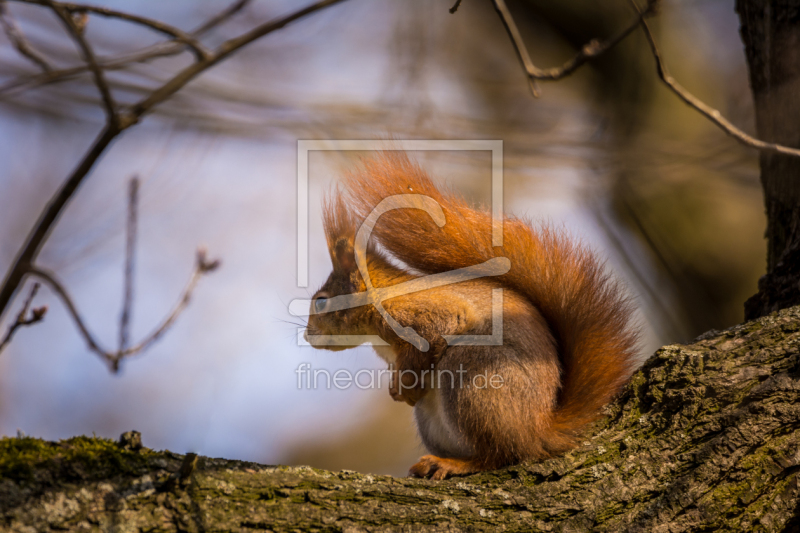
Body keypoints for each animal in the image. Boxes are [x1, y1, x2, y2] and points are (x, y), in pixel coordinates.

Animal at [304, 152, 636, 480]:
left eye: (321, 302)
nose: (307, 335)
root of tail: (537, 430)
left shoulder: (426, 314)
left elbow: (435, 335)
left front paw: (405, 386)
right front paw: (396, 387)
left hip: (473, 379)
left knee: (502, 455)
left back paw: (455, 464)